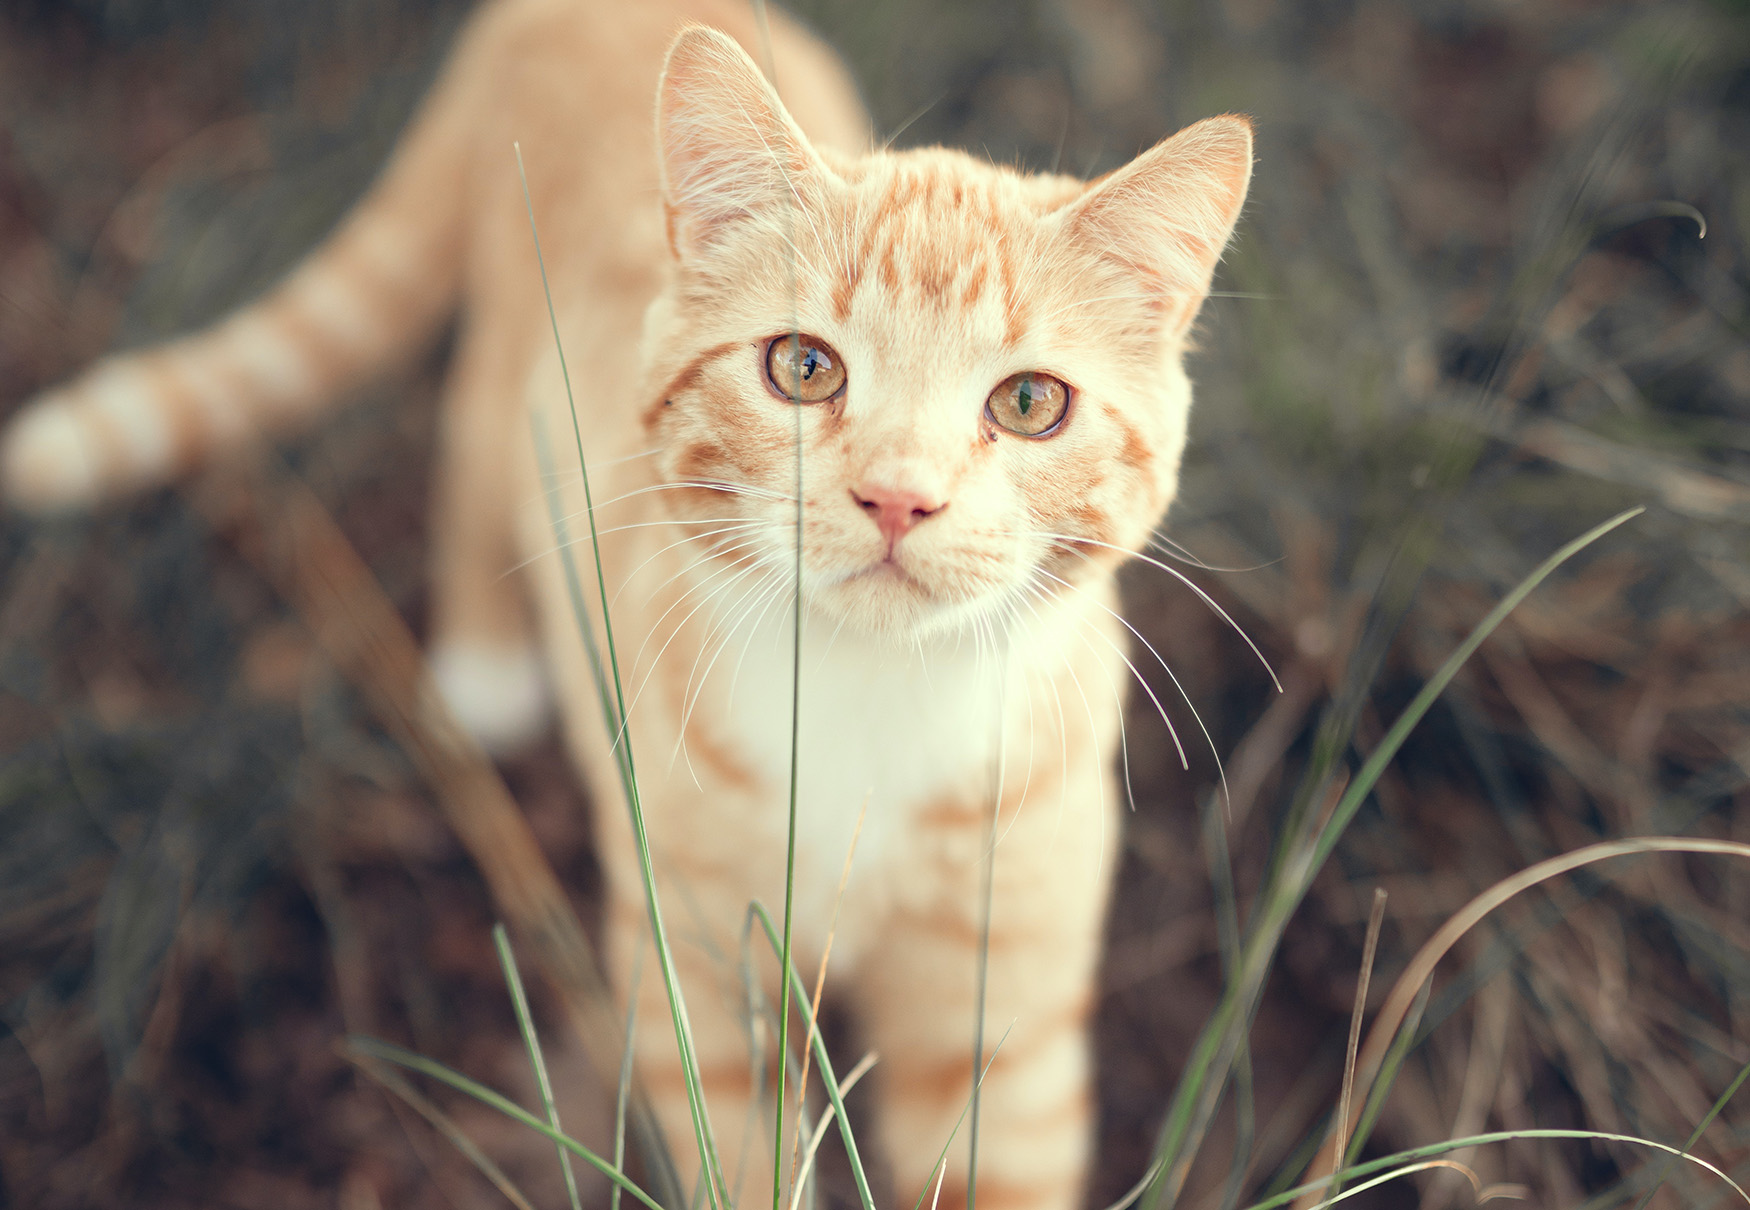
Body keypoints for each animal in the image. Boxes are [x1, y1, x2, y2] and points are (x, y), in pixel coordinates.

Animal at [3, 2, 1260, 1210]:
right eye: (804, 368)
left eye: (1031, 403)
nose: (898, 496)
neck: (870, 705)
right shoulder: (691, 963)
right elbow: (736, 1158)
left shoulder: (999, 1010)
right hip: (510, 382)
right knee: (470, 453)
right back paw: (486, 665)